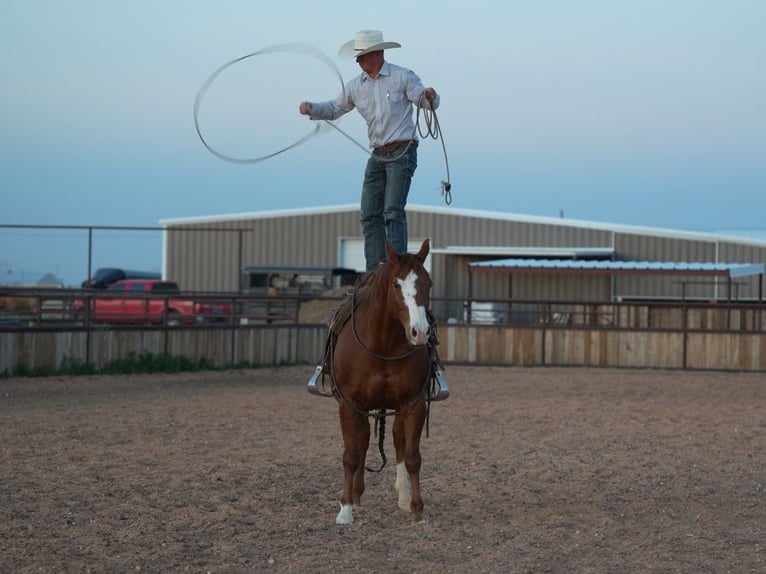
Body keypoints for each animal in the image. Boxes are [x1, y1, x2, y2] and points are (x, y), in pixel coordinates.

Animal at [332, 238, 436, 528]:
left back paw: (403, 496)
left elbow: (412, 456)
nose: (420, 332)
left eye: (428, 283)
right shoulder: (349, 404)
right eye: (396, 284)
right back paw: (356, 496)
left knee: (397, 441)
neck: (383, 345)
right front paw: (345, 510)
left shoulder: (414, 404)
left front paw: (417, 511)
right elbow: (351, 454)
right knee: (363, 441)